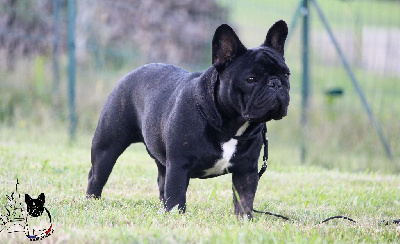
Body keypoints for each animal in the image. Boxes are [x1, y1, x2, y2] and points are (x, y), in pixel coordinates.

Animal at [86, 19, 290, 217]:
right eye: (251, 79)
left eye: (286, 74)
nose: (275, 83)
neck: (230, 127)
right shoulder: (178, 166)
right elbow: (177, 196)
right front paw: (178, 218)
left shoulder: (246, 170)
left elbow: (244, 200)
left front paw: (244, 221)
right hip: (108, 145)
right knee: (97, 175)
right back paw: (92, 201)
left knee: (162, 181)